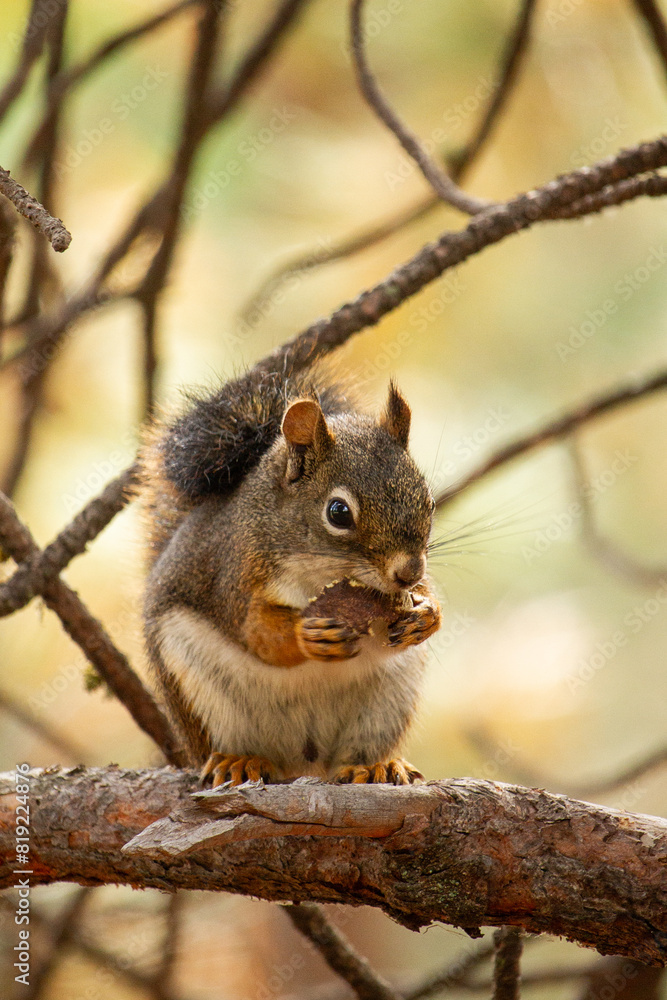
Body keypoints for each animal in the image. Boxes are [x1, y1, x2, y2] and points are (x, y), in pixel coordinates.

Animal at [140, 366, 441, 786]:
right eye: (338, 512)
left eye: (429, 501)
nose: (408, 572)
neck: (319, 572)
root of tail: (304, 763)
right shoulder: (235, 575)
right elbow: (257, 633)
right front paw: (306, 633)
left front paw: (427, 614)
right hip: (199, 688)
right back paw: (238, 760)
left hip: (387, 700)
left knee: (357, 751)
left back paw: (372, 766)